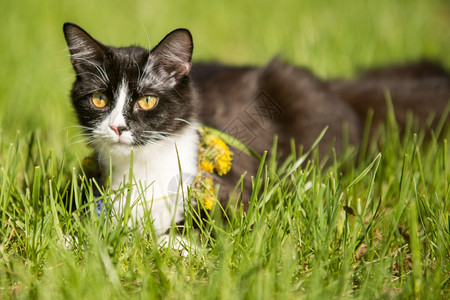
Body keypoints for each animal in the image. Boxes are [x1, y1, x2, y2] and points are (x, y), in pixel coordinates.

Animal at [64, 22, 450, 236]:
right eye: (99, 99)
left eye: (146, 100)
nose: (117, 127)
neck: (142, 169)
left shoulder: (230, 193)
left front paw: (164, 240)